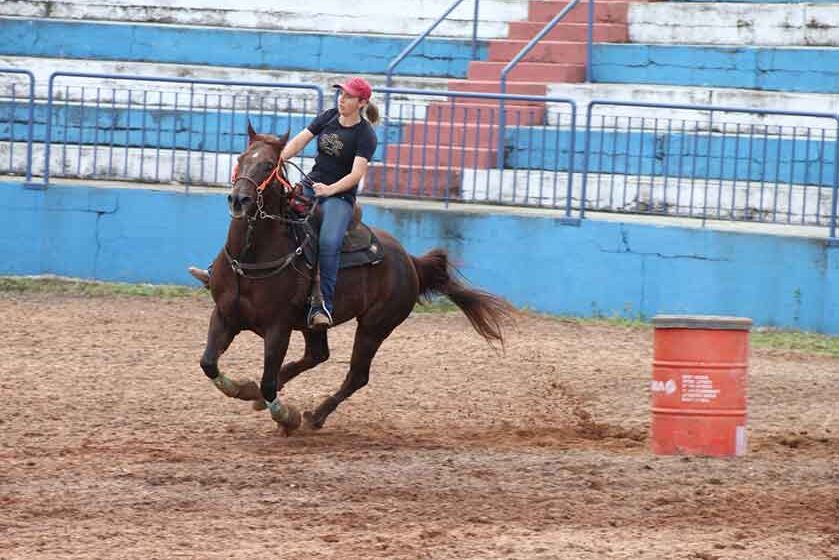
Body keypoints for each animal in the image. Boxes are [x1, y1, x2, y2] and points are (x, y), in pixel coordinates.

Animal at [199, 124, 512, 436]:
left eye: (268, 165)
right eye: (241, 158)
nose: (239, 200)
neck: (251, 259)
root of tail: (410, 260)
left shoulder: (278, 327)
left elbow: (267, 381)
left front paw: (287, 417)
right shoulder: (224, 315)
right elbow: (208, 363)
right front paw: (242, 389)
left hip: (375, 327)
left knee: (356, 375)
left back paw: (315, 416)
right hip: (316, 324)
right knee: (318, 355)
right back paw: (260, 396)